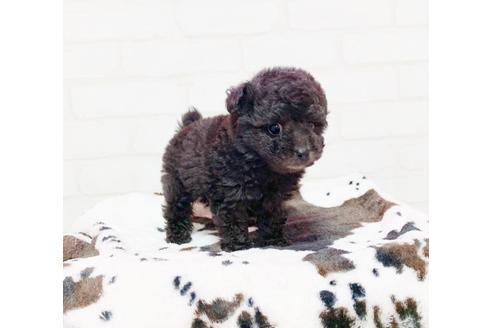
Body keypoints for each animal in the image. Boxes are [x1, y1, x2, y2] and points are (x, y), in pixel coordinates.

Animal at [161, 67, 328, 251]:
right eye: (274, 128)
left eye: (312, 125)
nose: (303, 151)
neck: (260, 163)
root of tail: (186, 126)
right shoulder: (229, 191)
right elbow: (233, 218)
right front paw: (238, 245)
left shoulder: (274, 195)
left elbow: (272, 216)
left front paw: (273, 239)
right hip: (177, 180)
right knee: (177, 206)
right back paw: (177, 234)